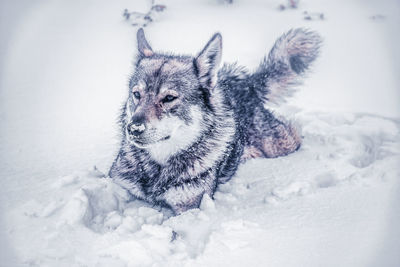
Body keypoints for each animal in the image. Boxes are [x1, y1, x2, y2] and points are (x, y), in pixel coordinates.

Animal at [110, 28, 322, 215]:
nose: (134, 128)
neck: (157, 166)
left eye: (169, 98)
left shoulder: (189, 207)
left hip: (279, 145)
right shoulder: (123, 186)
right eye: (137, 95)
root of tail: (247, 84)